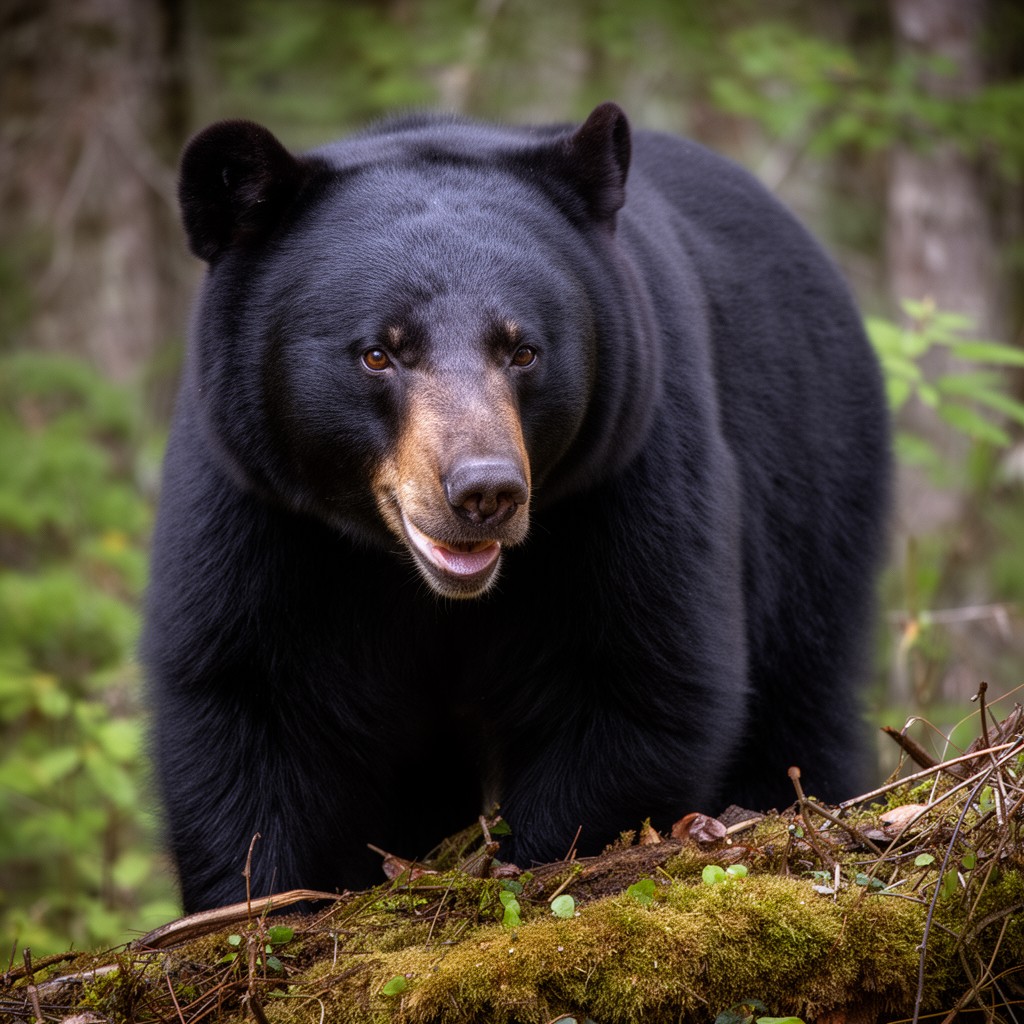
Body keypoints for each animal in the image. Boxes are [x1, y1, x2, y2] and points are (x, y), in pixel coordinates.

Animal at [143, 102, 890, 914]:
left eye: (523, 349)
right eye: (379, 352)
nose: (485, 492)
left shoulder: (632, 471)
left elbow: (641, 680)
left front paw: (527, 866)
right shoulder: (259, 510)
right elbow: (243, 701)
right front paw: (264, 899)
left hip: (814, 484)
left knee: (802, 699)